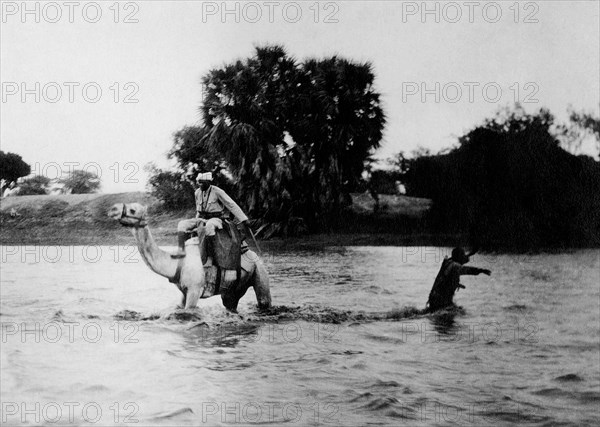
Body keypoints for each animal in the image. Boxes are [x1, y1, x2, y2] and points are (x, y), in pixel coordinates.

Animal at [109, 202, 274, 312]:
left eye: (132, 210)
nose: (113, 209)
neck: (175, 263)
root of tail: (254, 254)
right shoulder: (184, 291)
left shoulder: (195, 290)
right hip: (232, 289)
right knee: (230, 303)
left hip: (260, 271)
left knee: (264, 300)